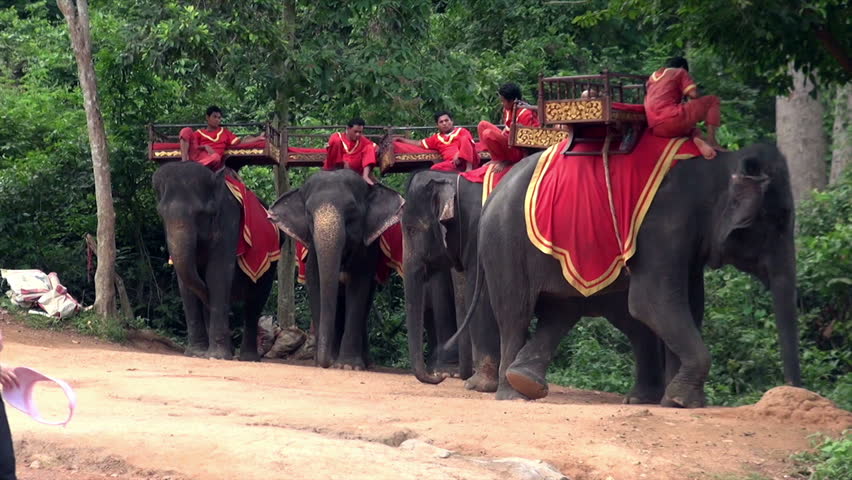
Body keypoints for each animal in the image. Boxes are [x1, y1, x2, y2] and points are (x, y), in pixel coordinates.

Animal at [152, 161, 279, 360]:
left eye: (202, 214)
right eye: (161, 214)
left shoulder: (229, 221)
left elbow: (217, 275)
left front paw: (217, 356)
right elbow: (185, 284)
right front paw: (196, 353)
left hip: (270, 262)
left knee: (255, 301)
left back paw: (247, 357)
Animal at [268, 169, 403, 370]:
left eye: (352, 212)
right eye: (308, 214)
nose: (324, 362)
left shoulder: (367, 251)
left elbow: (358, 288)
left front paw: (348, 366)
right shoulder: (312, 252)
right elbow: (316, 286)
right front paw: (326, 363)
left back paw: (366, 363)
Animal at [403, 170, 666, 403]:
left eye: (412, 230)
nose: (438, 376)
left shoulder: (484, 240)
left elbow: (482, 299)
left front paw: (479, 386)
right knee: (634, 323)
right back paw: (644, 397)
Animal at [456, 142, 801, 406]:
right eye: (779, 220)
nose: (792, 391)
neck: (722, 163)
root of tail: (494, 191)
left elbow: (688, 303)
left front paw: (679, 402)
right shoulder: (662, 224)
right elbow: (652, 302)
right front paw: (680, 401)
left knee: (561, 311)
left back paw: (528, 382)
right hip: (506, 246)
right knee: (516, 314)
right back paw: (512, 394)